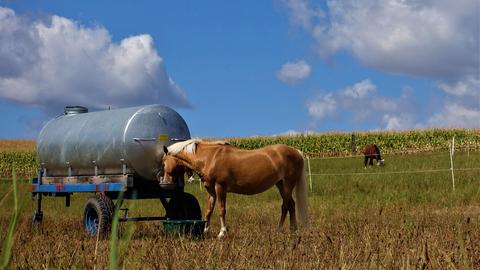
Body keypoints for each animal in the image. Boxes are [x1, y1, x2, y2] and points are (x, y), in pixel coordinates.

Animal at [159, 139, 310, 238]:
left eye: (163, 162)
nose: (165, 183)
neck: (210, 157)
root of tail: (296, 151)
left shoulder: (220, 187)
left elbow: (222, 210)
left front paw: (222, 233)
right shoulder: (211, 191)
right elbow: (208, 211)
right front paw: (206, 231)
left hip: (287, 185)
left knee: (288, 205)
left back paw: (288, 230)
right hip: (280, 185)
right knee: (289, 205)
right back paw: (287, 229)